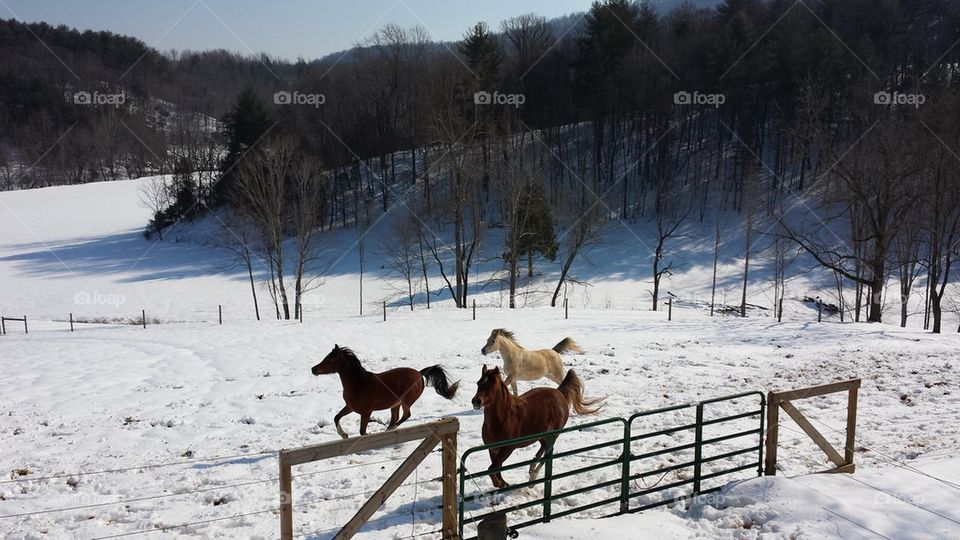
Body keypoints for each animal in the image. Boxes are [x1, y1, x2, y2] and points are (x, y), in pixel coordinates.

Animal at [308, 346, 458, 438]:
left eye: (329, 358)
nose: (313, 369)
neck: (358, 383)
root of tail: (420, 374)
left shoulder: (366, 412)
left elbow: (362, 431)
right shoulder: (350, 407)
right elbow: (336, 417)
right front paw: (344, 435)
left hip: (406, 401)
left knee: (406, 415)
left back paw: (390, 430)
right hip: (395, 404)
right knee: (395, 418)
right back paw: (388, 430)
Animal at [470, 364, 600, 488]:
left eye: (492, 385)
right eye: (478, 383)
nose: (476, 401)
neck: (503, 418)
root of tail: (559, 393)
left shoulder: (508, 448)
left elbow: (492, 469)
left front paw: (502, 484)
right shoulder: (492, 449)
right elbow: (497, 469)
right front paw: (504, 484)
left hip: (553, 435)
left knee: (547, 454)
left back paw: (532, 479)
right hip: (542, 436)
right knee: (542, 450)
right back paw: (531, 469)